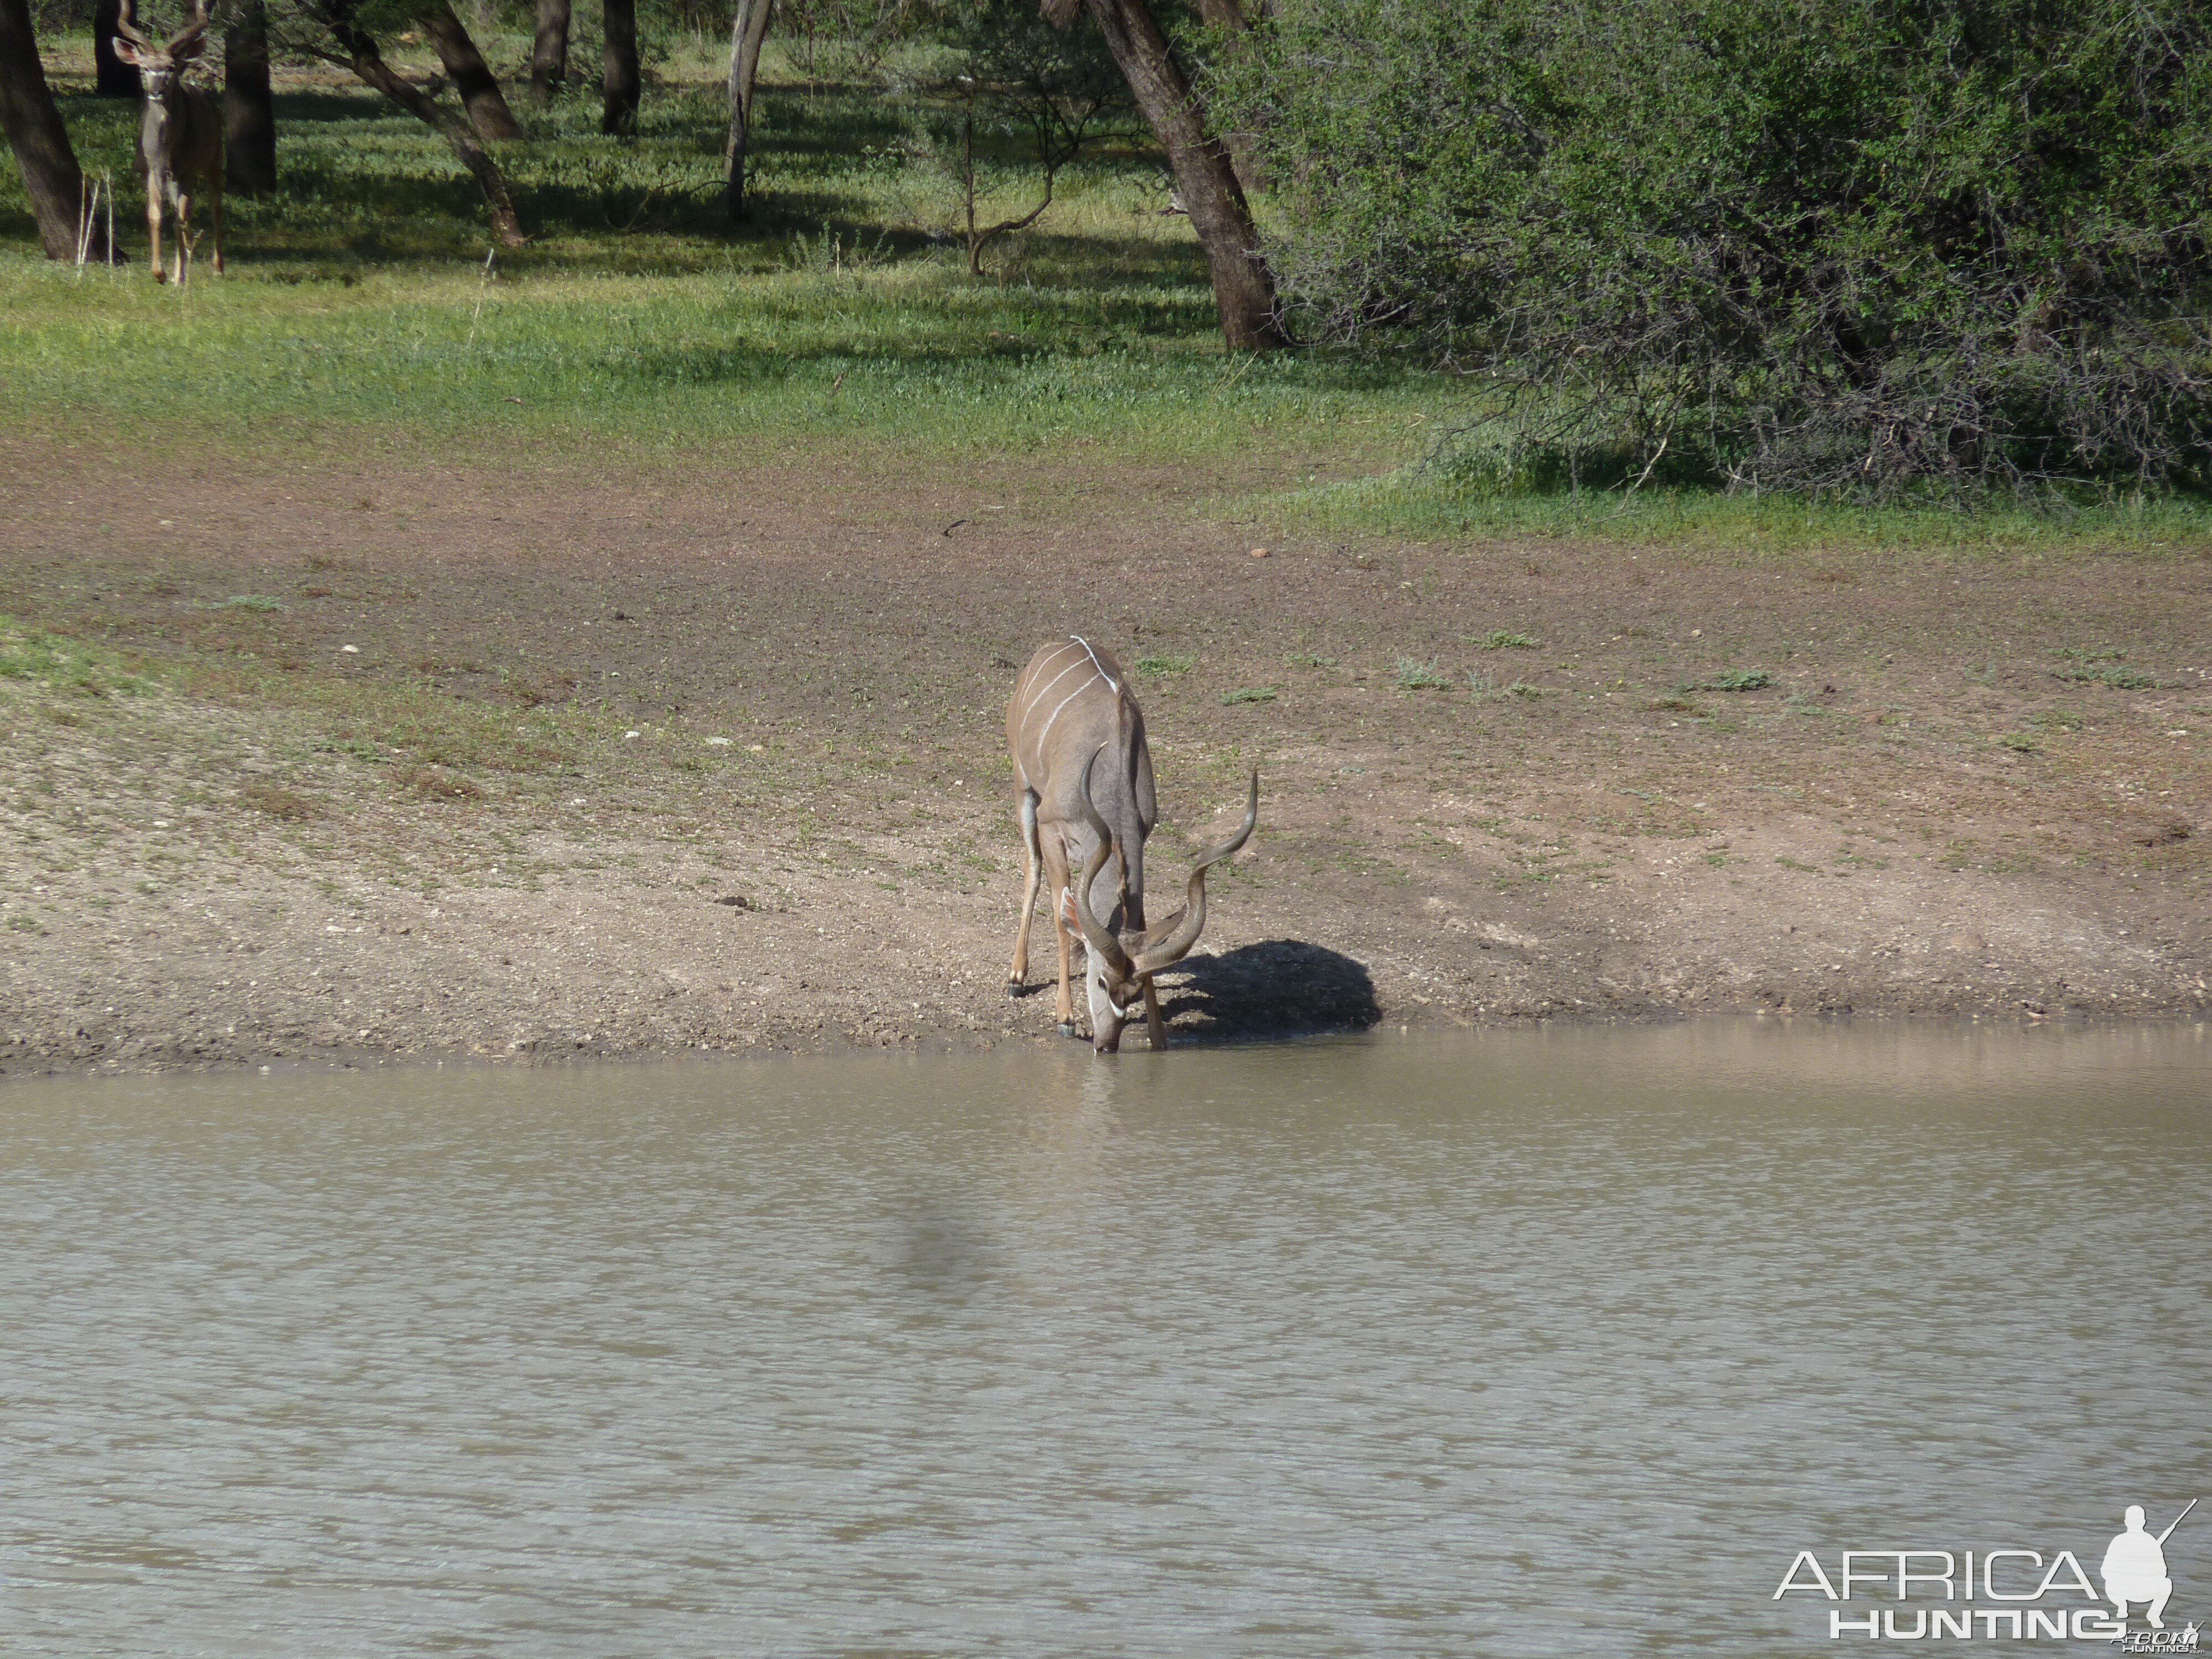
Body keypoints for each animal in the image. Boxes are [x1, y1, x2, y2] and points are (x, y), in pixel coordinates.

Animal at [112, 0, 222, 283]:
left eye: (171, 68)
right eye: (143, 68)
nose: (155, 91)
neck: (168, 149)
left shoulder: (187, 171)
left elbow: (181, 217)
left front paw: (175, 274)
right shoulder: (154, 169)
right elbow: (156, 214)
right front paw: (160, 273)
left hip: (214, 159)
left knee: (215, 206)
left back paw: (217, 268)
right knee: (181, 213)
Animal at [1009, 637, 1256, 1053]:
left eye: (1136, 993)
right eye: (1101, 981)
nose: (1106, 1045)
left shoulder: (1143, 832)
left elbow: (1136, 919)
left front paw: (1159, 1039)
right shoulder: (1051, 826)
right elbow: (1061, 919)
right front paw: (1065, 1018)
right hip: (1023, 785)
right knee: (1032, 870)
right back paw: (1016, 976)